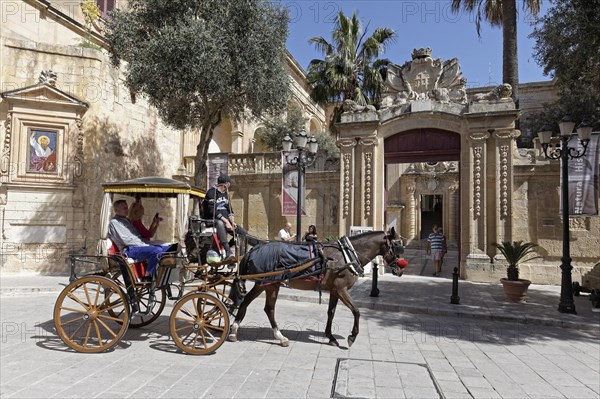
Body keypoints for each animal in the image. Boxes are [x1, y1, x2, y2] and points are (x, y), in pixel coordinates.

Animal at [227, 230, 406, 348]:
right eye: (398, 245)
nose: (401, 269)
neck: (346, 255)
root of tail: (252, 250)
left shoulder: (334, 290)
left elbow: (331, 313)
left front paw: (331, 337)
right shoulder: (341, 289)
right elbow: (356, 311)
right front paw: (352, 336)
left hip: (268, 285)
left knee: (259, 306)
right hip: (266, 284)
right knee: (255, 305)